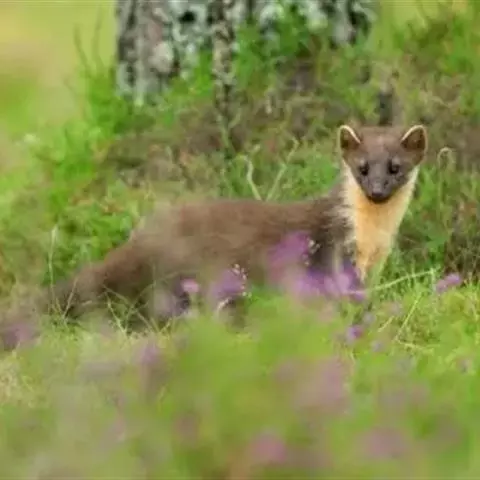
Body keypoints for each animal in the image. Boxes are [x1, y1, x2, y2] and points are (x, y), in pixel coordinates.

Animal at [0, 123, 428, 344]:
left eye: (395, 166)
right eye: (361, 167)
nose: (377, 190)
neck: (373, 237)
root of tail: (142, 239)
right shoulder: (334, 251)